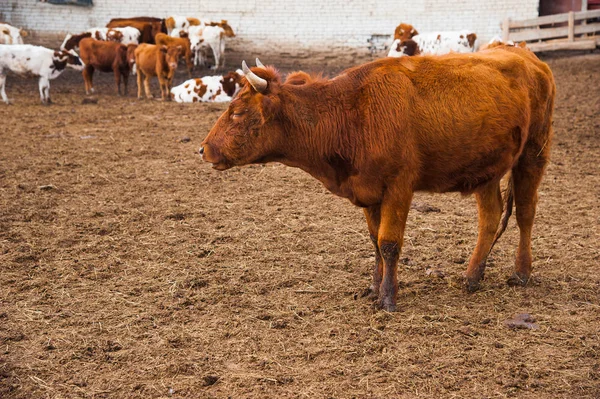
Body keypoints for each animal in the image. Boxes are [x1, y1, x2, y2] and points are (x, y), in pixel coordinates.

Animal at [199, 49, 556, 312]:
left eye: (237, 113)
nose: (203, 149)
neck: (350, 113)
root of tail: (525, 54)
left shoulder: (399, 188)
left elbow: (388, 243)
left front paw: (388, 297)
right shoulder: (368, 191)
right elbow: (374, 242)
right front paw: (373, 288)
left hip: (533, 154)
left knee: (525, 213)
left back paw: (521, 273)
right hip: (487, 169)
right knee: (491, 216)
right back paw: (472, 277)